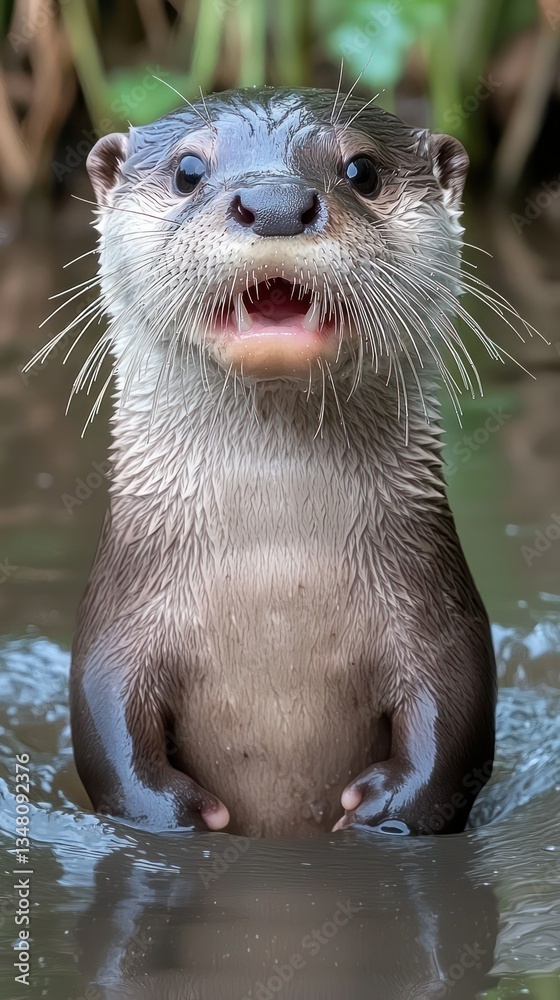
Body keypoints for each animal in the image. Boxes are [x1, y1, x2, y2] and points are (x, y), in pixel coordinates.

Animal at [59, 87, 501, 838]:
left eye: (362, 171)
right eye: (187, 171)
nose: (274, 205)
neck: (275, 577)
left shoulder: (443, 620)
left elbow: (459, 719)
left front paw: (382, 812)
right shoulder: (114, 629)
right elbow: (102, 716)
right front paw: (174, 815)